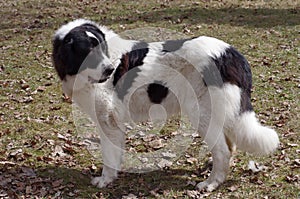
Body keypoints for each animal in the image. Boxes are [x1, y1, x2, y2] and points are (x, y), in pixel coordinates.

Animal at [51, 19, 278, 191]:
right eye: (88, 52)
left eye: (101, 50)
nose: (109, 70)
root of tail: (229, 54)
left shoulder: (108, 122)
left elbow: (108, 155)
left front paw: (105, 179)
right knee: (228, 144)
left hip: (200, 112)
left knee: (222, 150)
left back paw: (211, 183)